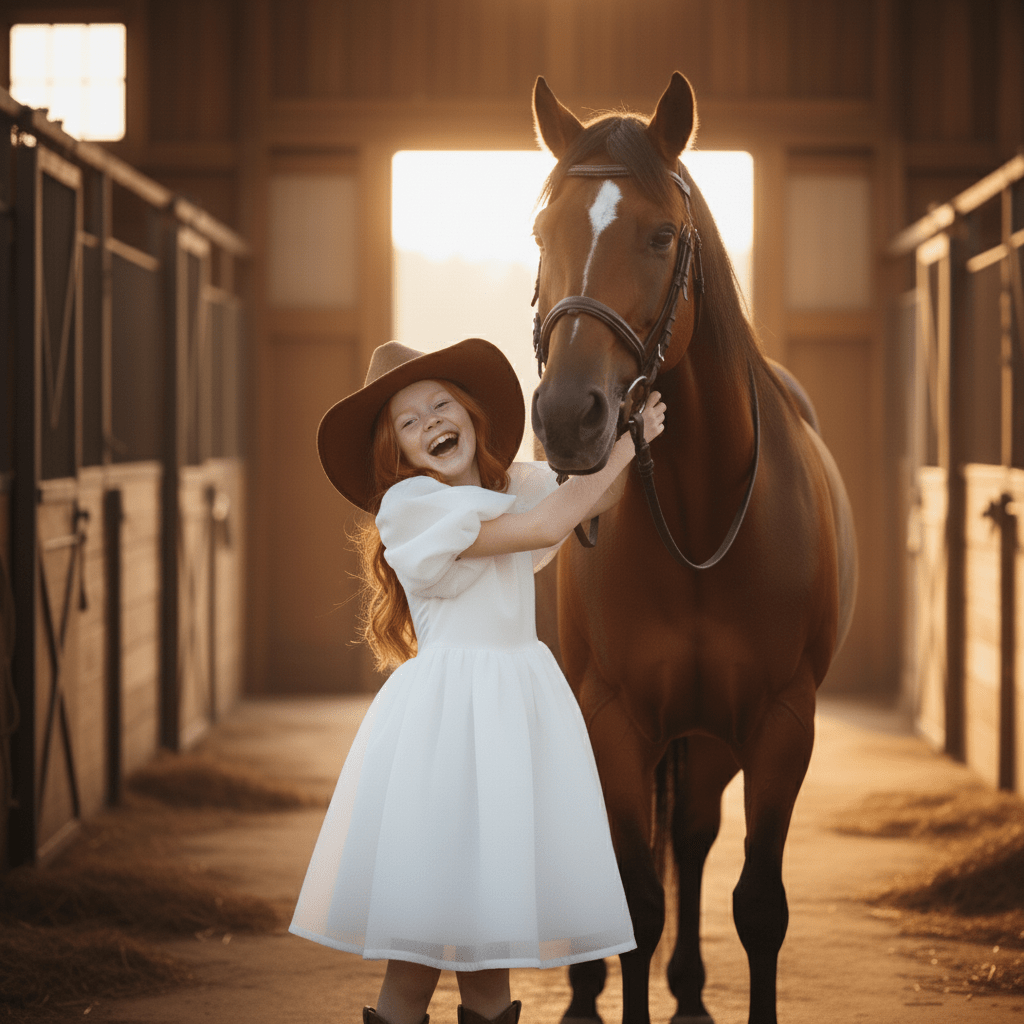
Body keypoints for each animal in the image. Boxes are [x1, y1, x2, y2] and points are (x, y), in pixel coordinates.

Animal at [529, 73, 857, 1024]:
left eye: (662, 235)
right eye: (542, 233)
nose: (569, 417)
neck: (702, 520)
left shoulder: (781, 721)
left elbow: (757, 903)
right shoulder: (615, 716)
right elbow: (636, 900)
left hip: (711, 736)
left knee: (695, 832)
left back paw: (689, 994)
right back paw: (583, 996)